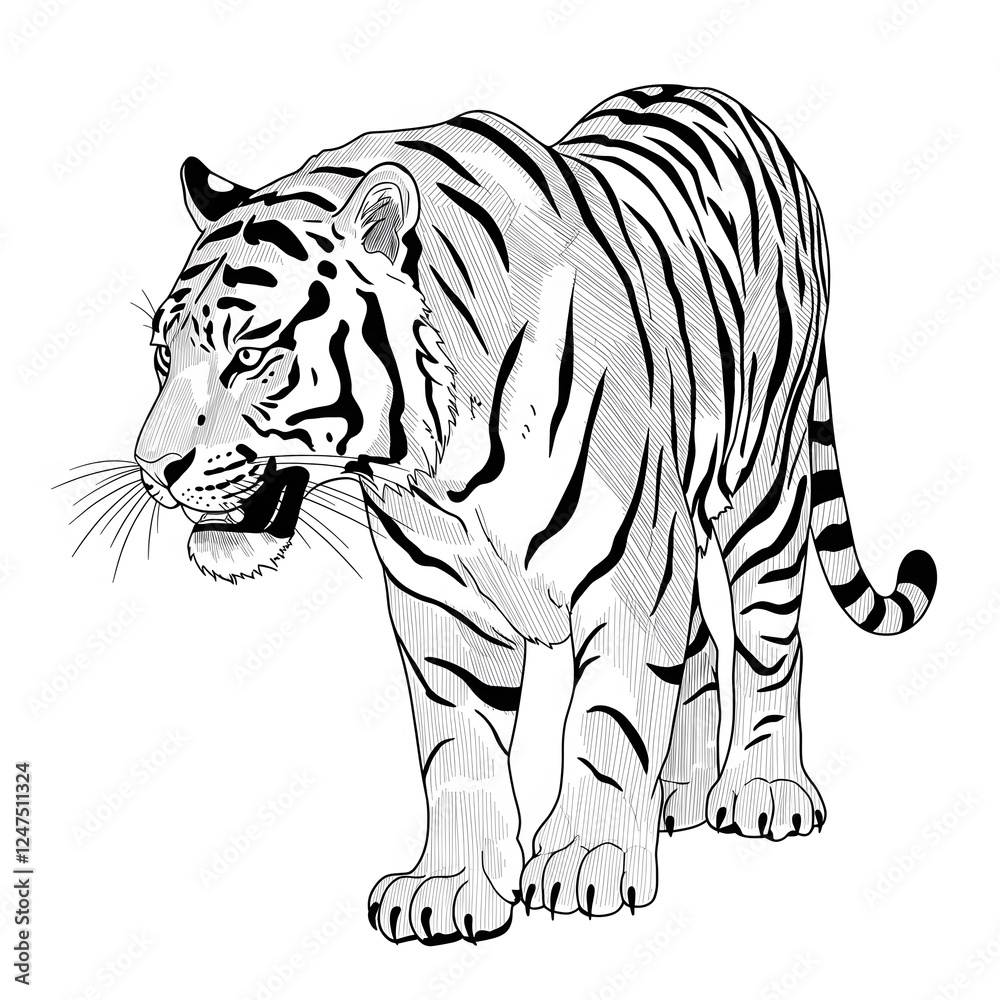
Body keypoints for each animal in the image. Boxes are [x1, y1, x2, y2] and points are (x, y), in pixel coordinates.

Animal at [112, 84, 936, 943]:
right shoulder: (440, 599)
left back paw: (763, 791)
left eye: (250, 356)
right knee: (704, 639)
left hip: (763, 478)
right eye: (163, 356)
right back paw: (676, 797)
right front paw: (450, 884)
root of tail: (725, 100)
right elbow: (457, 747)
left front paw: (585, 859)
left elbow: (609, 720)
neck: (440, 466)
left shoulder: (633, 570)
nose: (152, 468)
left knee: (770, 635)